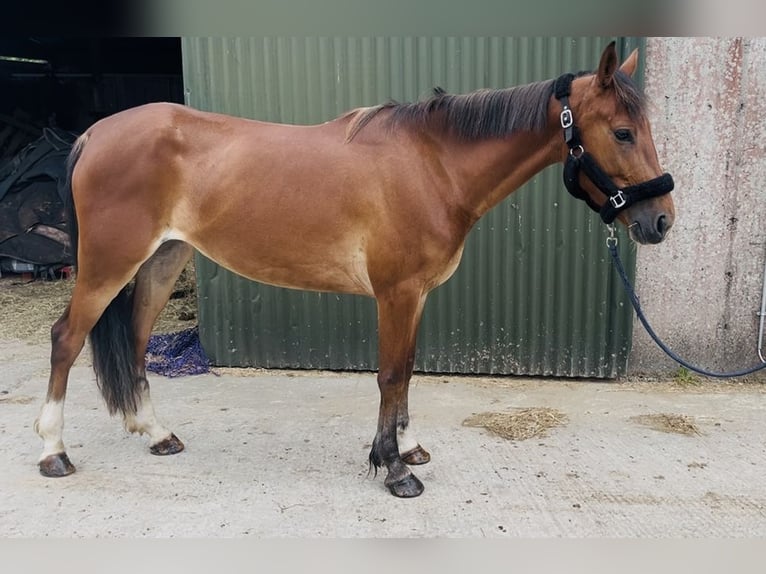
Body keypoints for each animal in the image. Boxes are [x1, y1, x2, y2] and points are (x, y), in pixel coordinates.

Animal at [34, 41, 674, 498]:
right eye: (622, 132)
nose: (661, 220)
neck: (434, 166)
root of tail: (95, 133)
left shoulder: (417, 296)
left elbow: (409, 372)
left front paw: (409, 448)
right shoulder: (397, 293)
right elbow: (390, 375)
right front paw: (394, 469)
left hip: (162, 260)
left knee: (136, 338)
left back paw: (158, 435)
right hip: (108, 266)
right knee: (67, 338)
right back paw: (53, 452)